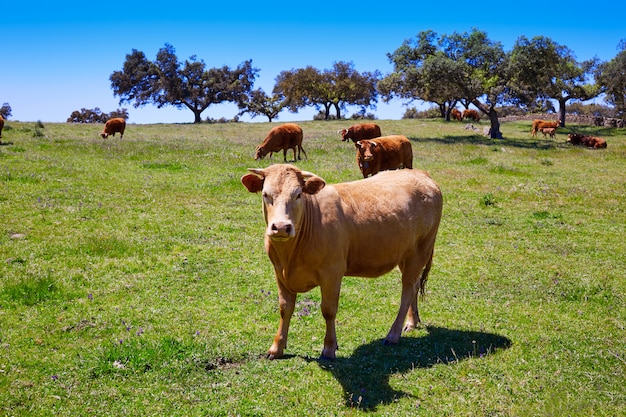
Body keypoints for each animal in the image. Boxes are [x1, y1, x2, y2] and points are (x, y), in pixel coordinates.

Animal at [240, 162, 444, 358]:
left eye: (298, 195)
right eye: (266, 194)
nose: (281, 227)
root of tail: (420, 174)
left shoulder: (332, 272)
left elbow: (328, 310)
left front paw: (329, 349)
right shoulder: (279, 272)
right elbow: (285, 308)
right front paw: (276, 347)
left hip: (421, 250)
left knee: (408, 290)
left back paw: (393, 334)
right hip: (406, 255)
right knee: (415, 285)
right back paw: (412, 321)